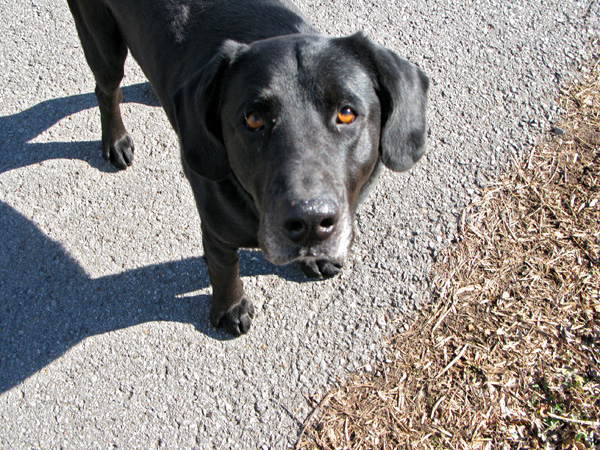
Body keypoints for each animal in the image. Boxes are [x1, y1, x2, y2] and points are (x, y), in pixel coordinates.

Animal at [68, 0, 428, 334]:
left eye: (346, 113)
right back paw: (115, 141)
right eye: (253, 119)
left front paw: (317, 258)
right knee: (106, 89)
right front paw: (230, 308)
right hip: (101, 40)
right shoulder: (215, 228)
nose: (310, 222)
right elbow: (223, 267)